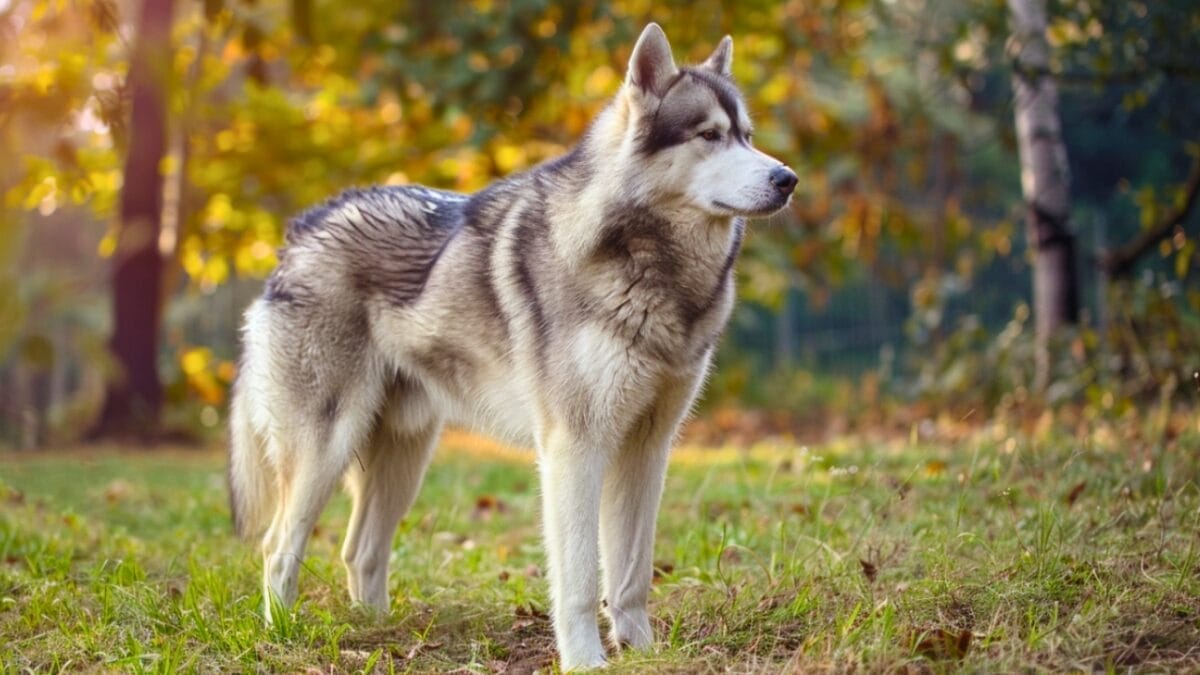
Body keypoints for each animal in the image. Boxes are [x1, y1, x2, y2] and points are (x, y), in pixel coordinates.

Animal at [228, 23, 796, 670]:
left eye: (747, 136)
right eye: (709, 135)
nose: (787, 179)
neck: (656, 270)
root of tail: (297, 236)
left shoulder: (648, 447)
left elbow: (631, 573)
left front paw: (643, 652)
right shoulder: (573, 447)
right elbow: (578, 579)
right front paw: (586, 661)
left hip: (404, 459)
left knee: (359, 549)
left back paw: (376, 630)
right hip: (326, 449)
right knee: (277, 545)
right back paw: (281, 636)